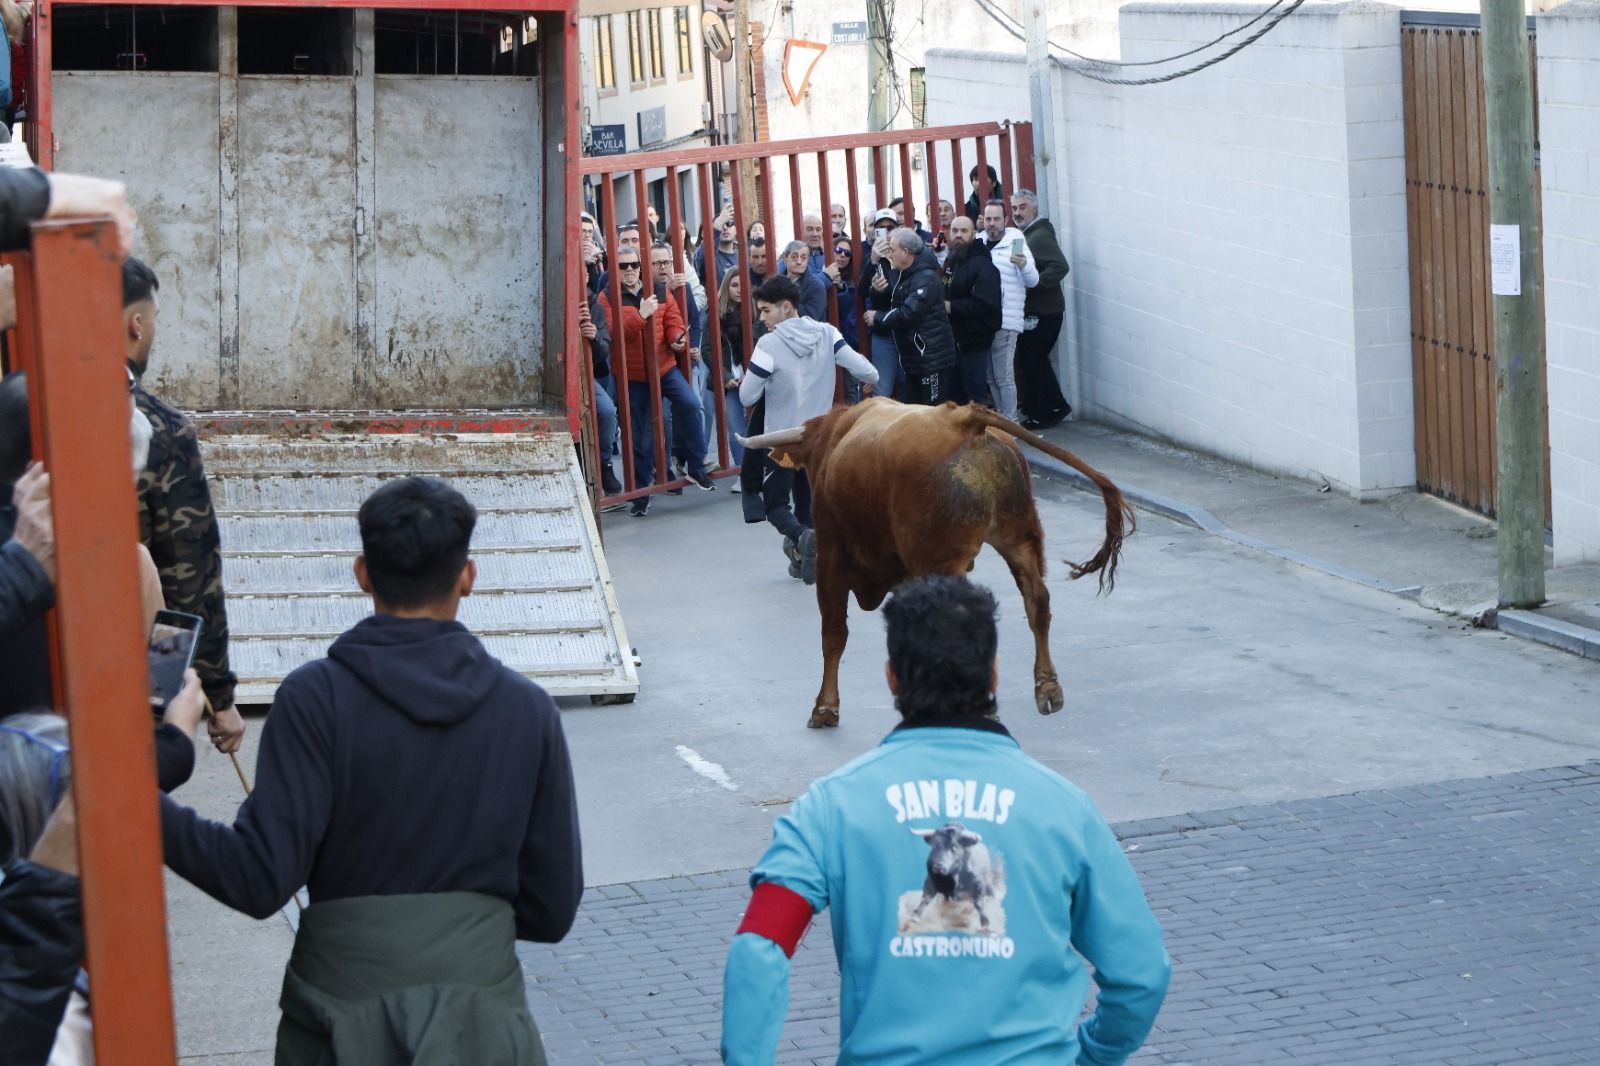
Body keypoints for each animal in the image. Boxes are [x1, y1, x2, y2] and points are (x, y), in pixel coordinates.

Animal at [739, 393, 1132, 726]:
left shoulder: (832, 558)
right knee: (1037, 601)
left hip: (941, 559)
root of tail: (965, 419)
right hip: (1020, 536)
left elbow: (833, 634)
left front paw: (825, 708)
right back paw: (1047, 690)